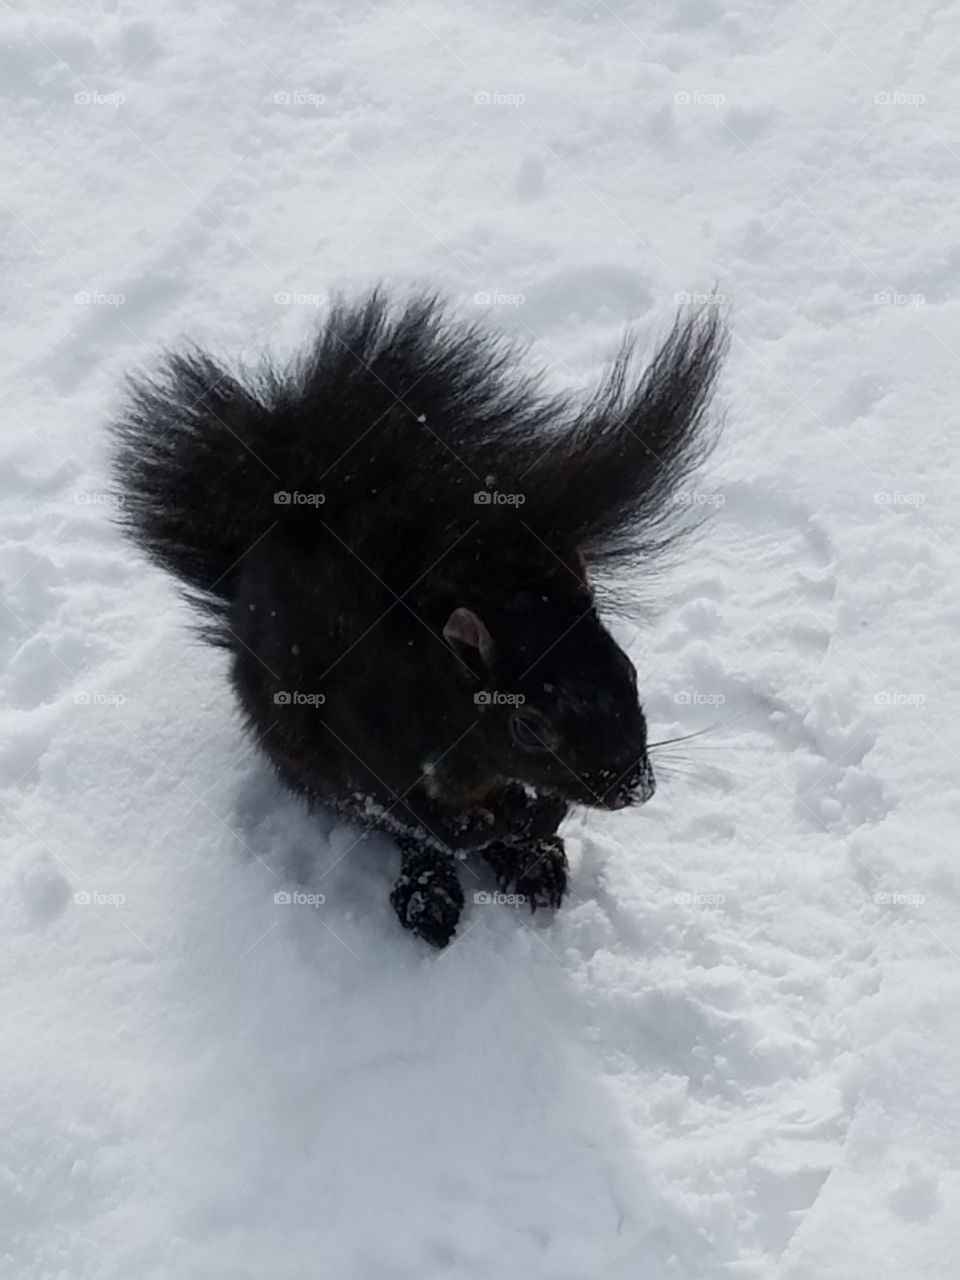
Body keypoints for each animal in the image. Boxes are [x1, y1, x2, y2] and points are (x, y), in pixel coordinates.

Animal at [112, 289, 726, 947]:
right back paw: (433, 890)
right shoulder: (363, 731)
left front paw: (538, 819)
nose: (634, 788)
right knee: (405, 835)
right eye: (528, 726)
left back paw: (533, 861)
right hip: (299, 748)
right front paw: (498, 822)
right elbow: (422, 817)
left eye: (630, 672)